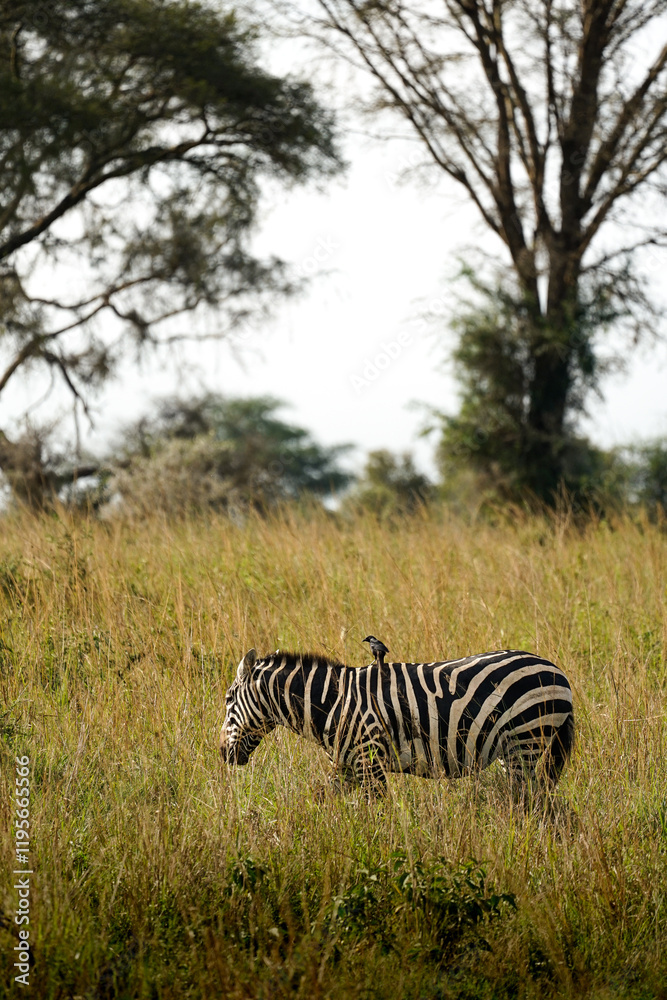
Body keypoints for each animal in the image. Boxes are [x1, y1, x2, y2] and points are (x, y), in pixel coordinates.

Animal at [220, 647, 574, 795]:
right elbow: (322, 801)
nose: (223, 755)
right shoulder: (345, 766)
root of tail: (557, 671)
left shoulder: (369, 759)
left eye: (227, 700)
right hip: (514, 749)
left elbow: (378, 812)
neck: (333, 703)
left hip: (525, 740)